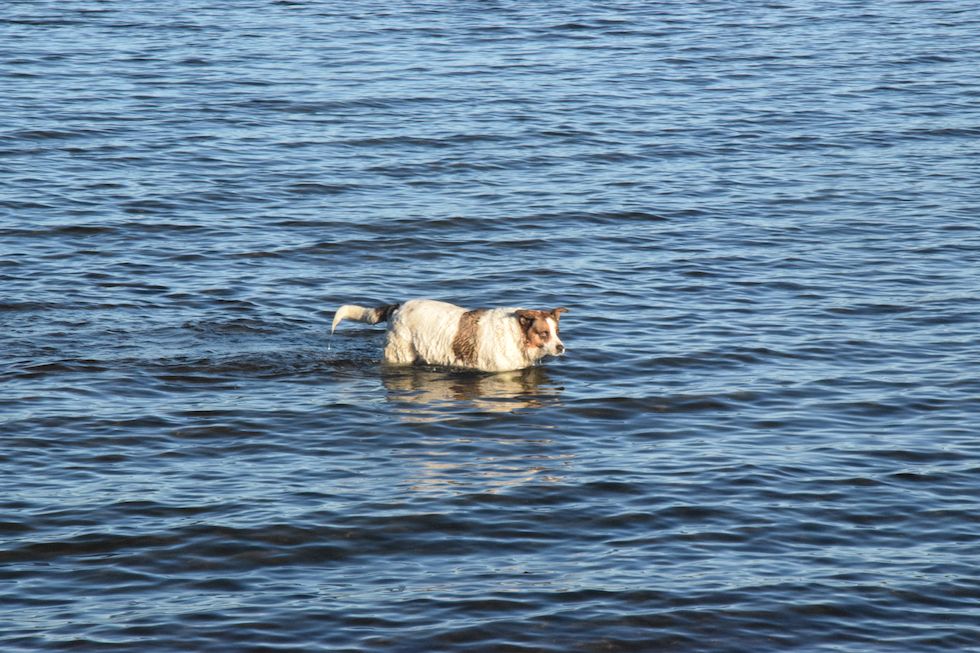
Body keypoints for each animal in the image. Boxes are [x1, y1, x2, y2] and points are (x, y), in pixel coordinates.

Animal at [334, 296, 572, 370]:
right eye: (543, 333)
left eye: (557, 331)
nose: (561, 347)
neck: (517, 335)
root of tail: (398, 307)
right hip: (399, 353)